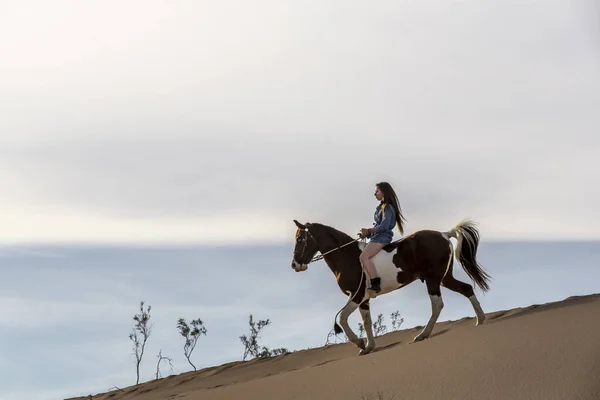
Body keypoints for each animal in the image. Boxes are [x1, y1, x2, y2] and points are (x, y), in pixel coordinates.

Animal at [290, 220, 492, 354]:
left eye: (300, 239)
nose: (294, 265)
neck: (347, 256)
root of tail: (444, 234)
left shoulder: (356, 295)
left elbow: (342, 318)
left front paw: (359, 343)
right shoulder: (363, 300)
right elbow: (367, 321)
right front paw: (369, 346)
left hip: (433, 279)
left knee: (437, 305)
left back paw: (423, 335)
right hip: (444, 278)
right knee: (466, 289)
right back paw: (480, 319)